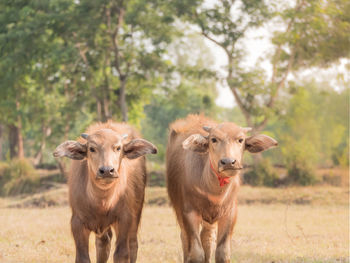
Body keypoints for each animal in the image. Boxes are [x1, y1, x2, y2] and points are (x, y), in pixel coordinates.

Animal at [53, 122, 157, 263]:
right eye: (92, 148)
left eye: (118, 148)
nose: (107, 170)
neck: (102, 201)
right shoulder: (77, 222)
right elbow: (82, 257)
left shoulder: (125, 218)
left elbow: (121, 254)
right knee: (103, 243)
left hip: (136, 213)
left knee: (132, 244)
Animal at [165, 115, 278, 263]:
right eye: (213, 139)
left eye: (240, 140)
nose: (228, 162)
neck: (213, 191)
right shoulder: (188, 212)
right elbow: (195, 253)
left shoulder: (230, 212)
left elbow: (222, 252)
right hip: (179, 208)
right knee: (185, 239)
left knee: (207, 239)